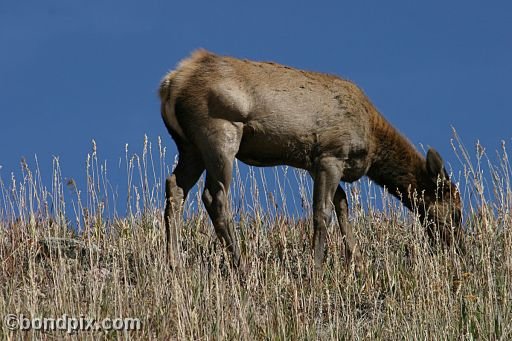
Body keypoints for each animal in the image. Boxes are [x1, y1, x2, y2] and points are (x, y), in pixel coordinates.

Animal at [158, 49, 462, 270]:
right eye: (456, 210)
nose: (457, 248)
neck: (372, 143)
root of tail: (171, 83)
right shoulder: (331, 153)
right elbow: (322, 212)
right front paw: (315, 267)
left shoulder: (316, 164)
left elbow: (342, 206)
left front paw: (356, 262)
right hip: (220, 131)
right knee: (214, 196)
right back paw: (240, 265)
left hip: (189, 146)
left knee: (174, 186)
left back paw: (174, 263)